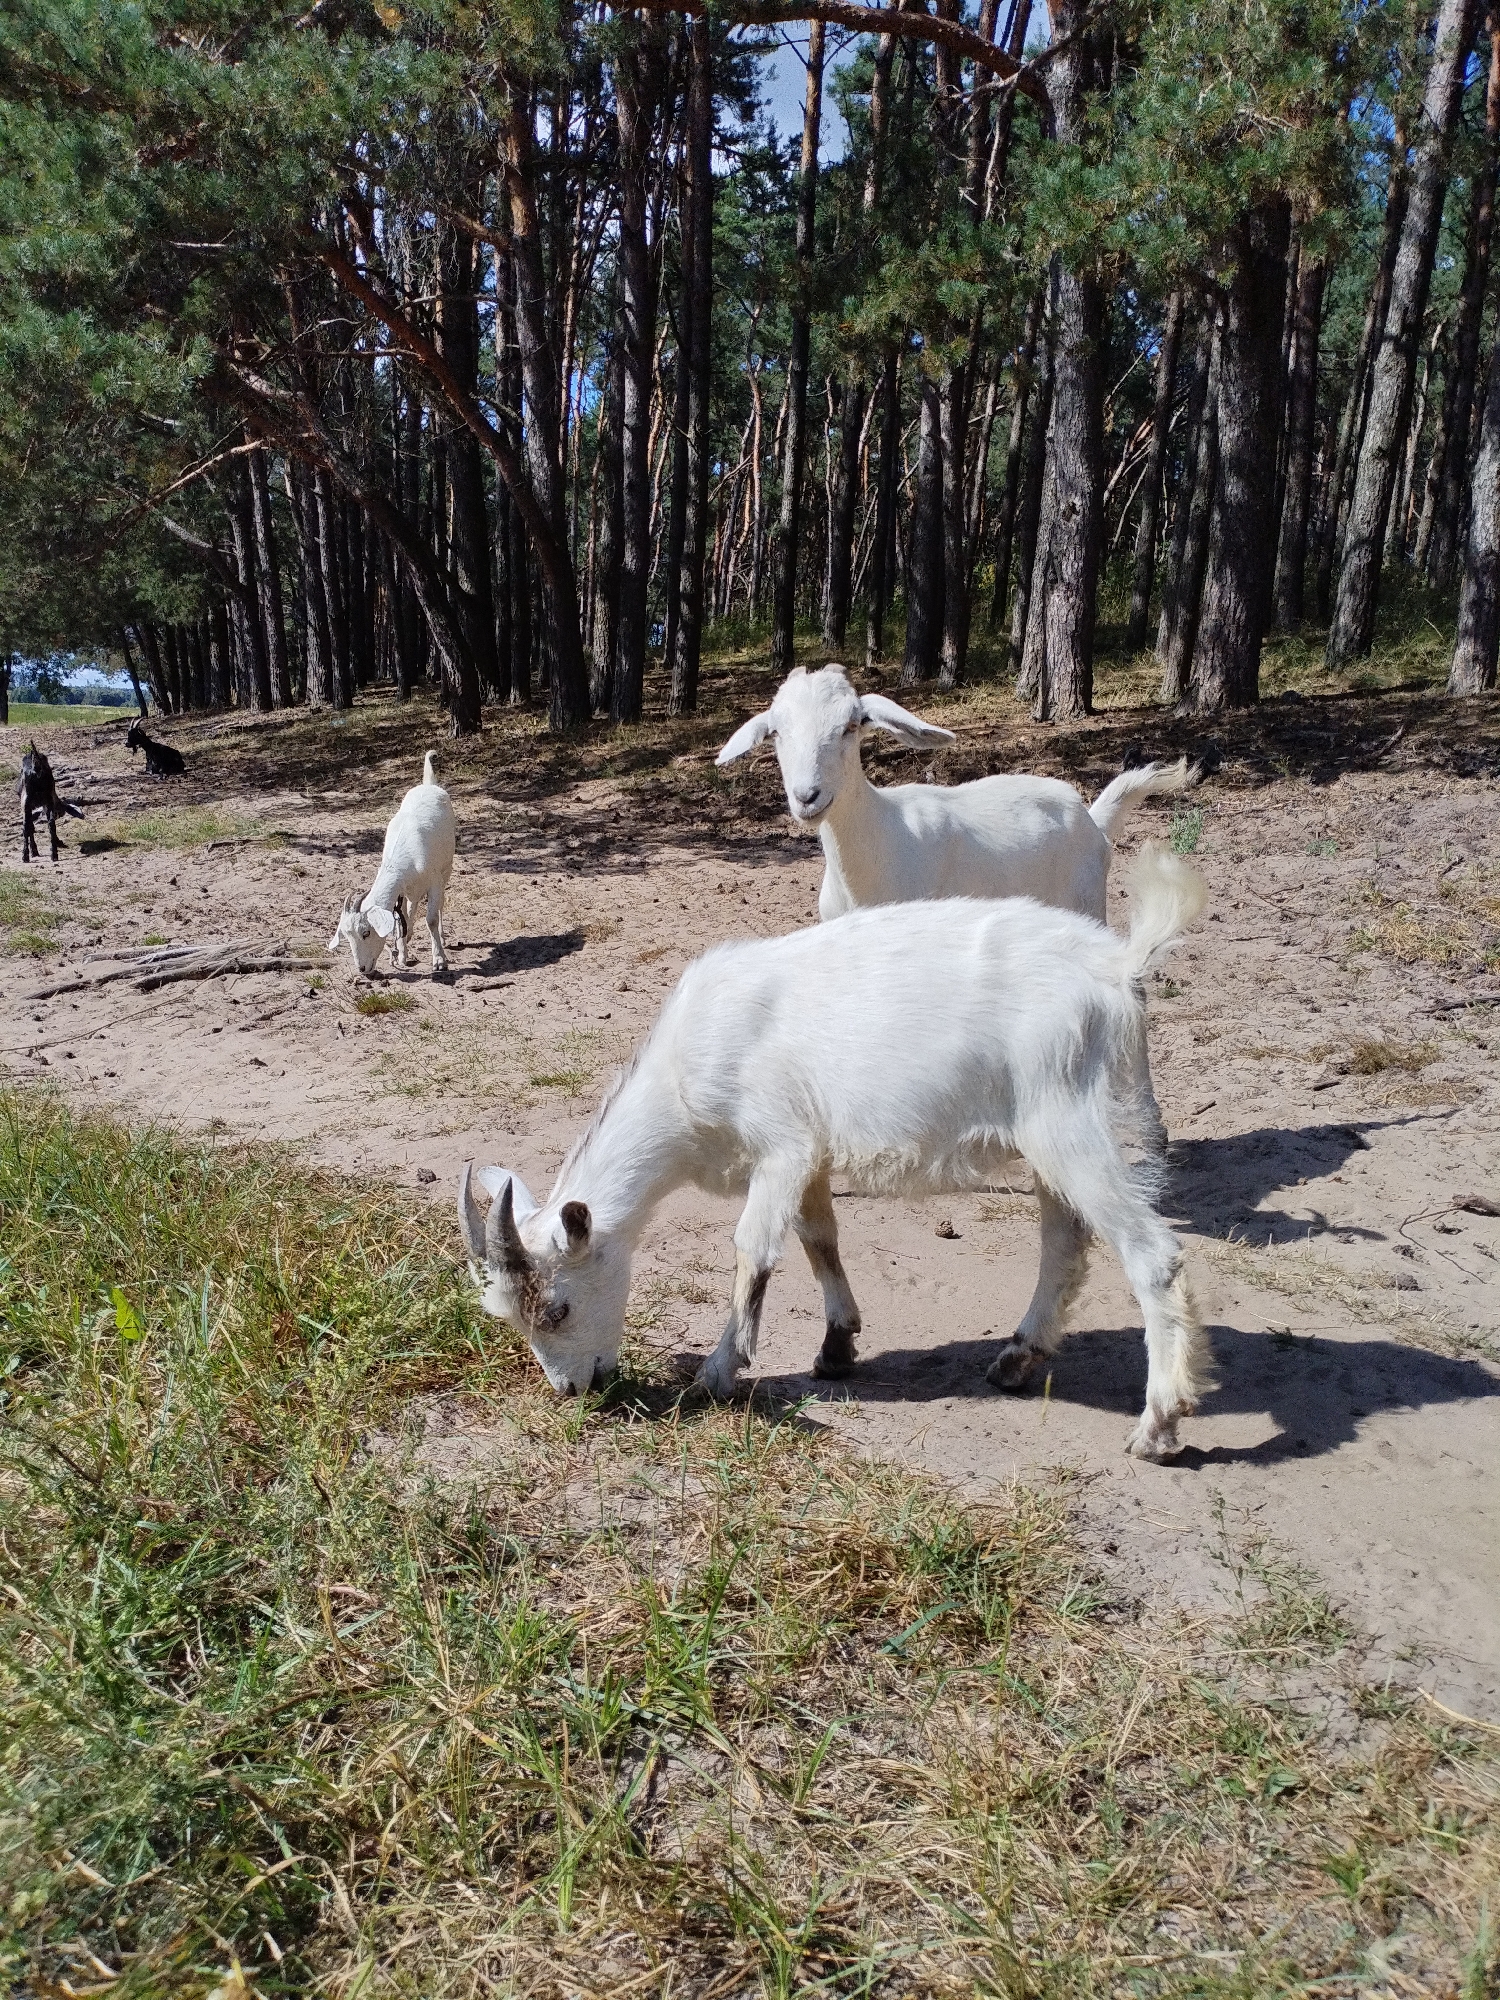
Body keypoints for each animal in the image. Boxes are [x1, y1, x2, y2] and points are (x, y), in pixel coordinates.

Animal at [329, 751, 455, 976]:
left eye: (366, 932)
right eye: (347, 936)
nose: (362, 968)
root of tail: (429, 784)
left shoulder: (434, 881)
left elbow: (431, 919)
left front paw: (439, 960)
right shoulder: (401, 890)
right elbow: (401, 917)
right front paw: (402, 954)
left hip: (446, 868)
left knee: (440, 903)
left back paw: (442, 936)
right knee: (413, 906)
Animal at [459, 846, 1215, 1462]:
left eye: (557, 1309)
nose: (573, 1390)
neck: (682, 1075)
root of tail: (1115, 965)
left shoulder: (780, 1144)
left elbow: (753, 1251)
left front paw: (718, 1373)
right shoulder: (809, 1156)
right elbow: (819, 1239)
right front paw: (836, 1347)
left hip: (1067, 1118)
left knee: (1151, 1254)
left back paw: (1158, 1426)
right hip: (1049, 1134)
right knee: (1064, 1244)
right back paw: (1017, 1359)